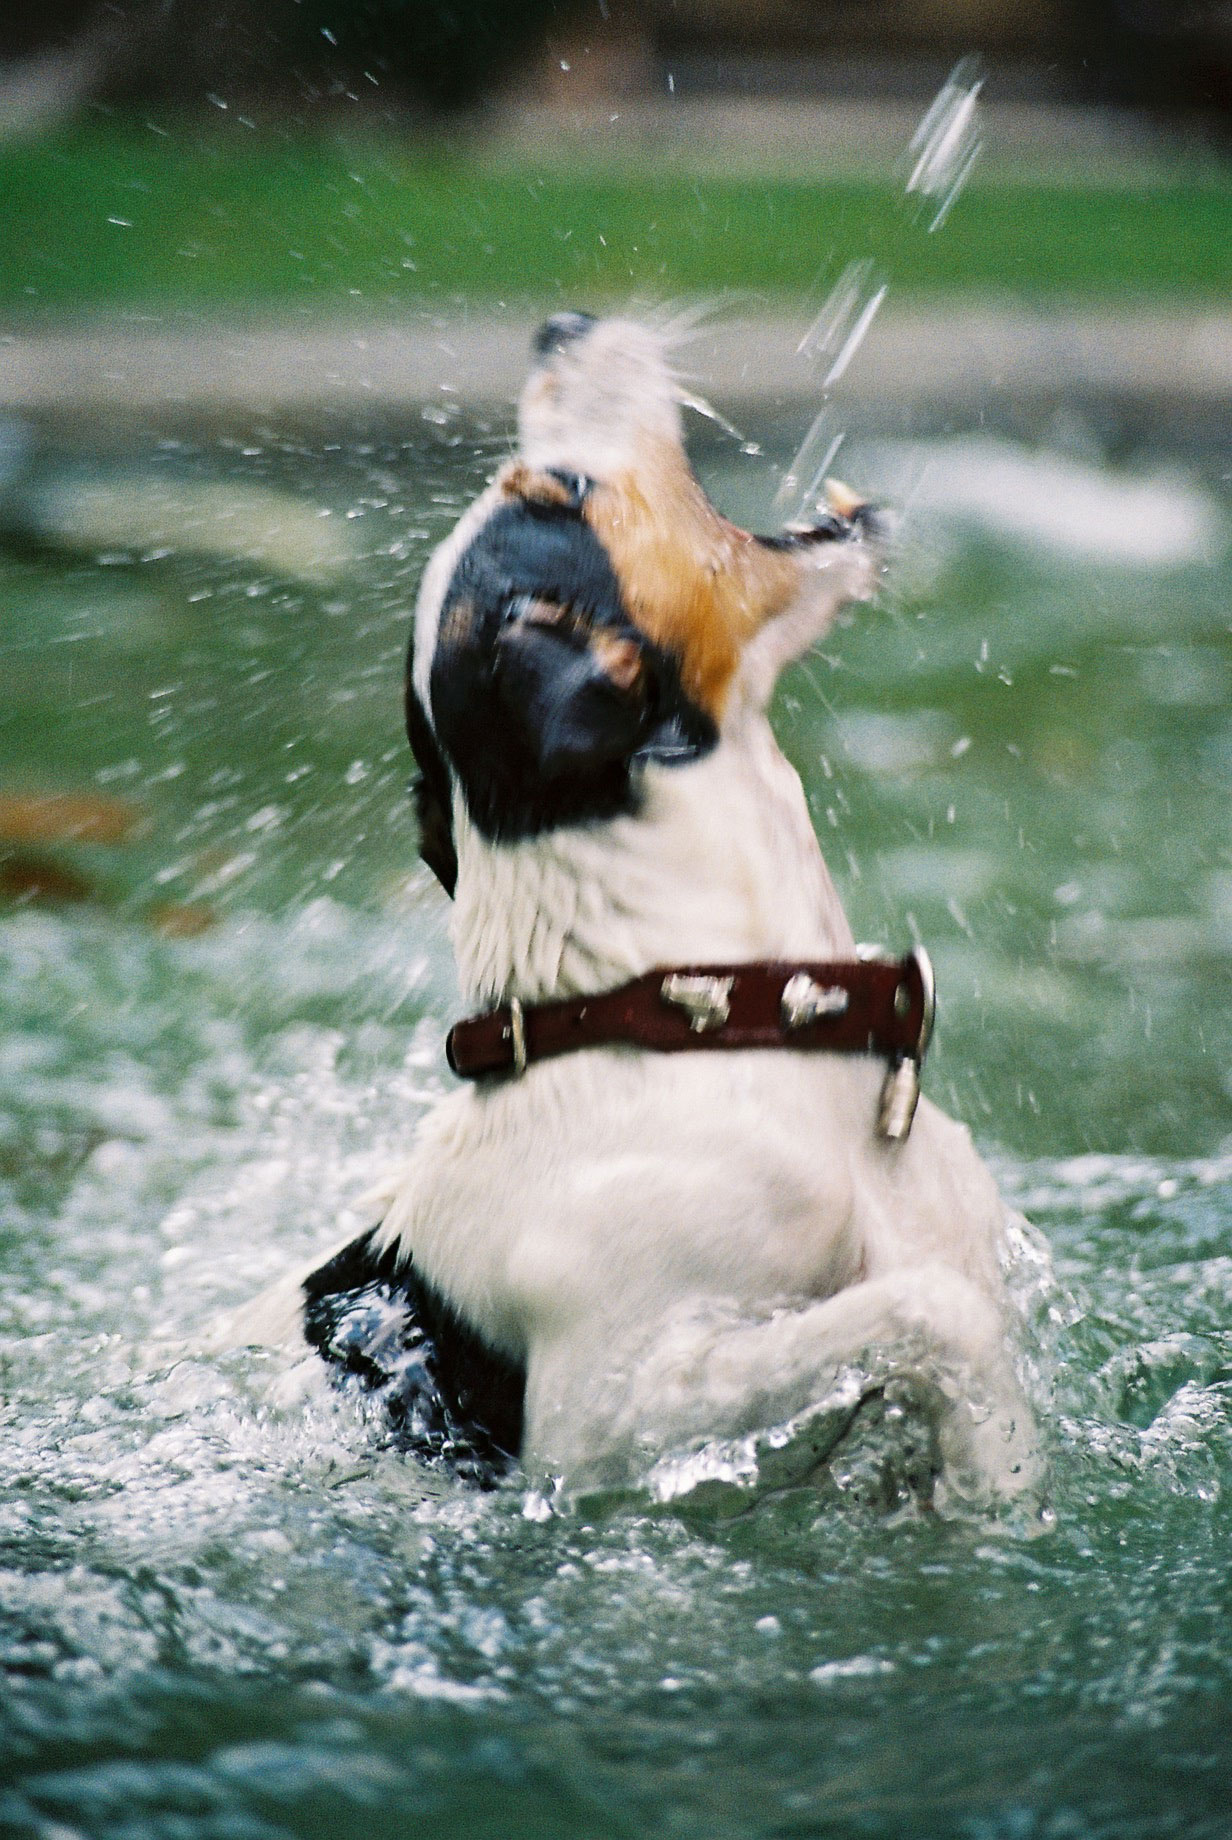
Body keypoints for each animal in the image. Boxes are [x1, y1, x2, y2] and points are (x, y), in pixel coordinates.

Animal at [228, 305, 1044, 1508]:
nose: (558, 324)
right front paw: (996, 1482)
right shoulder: (607, 1424)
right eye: (562, 490)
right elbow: (932, 1313)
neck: (704, 1015)